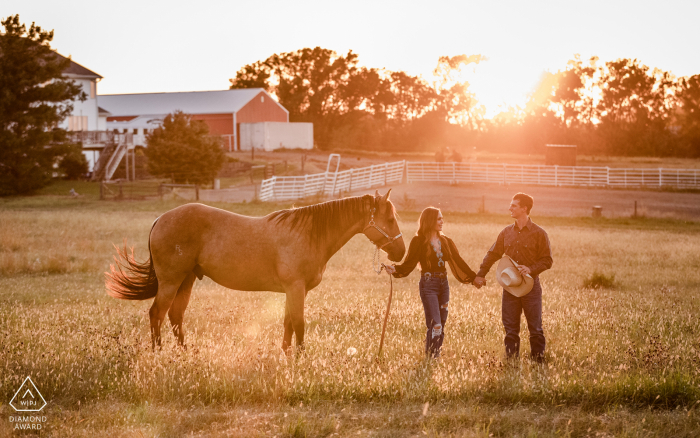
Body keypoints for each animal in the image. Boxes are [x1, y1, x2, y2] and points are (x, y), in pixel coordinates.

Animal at [101, 190, 402, 350]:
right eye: (389, 218)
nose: (400, 253)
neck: (307, 233)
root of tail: (160, 218)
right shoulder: (296, 288)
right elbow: (299, 323)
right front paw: (301, 360)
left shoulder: (293, 291)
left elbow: (288, 323)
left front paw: (287, 356)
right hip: (171, 281)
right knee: (157, 315)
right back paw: (159, 354)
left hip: (186, 281)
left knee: (176, 317)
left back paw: (184, 354)